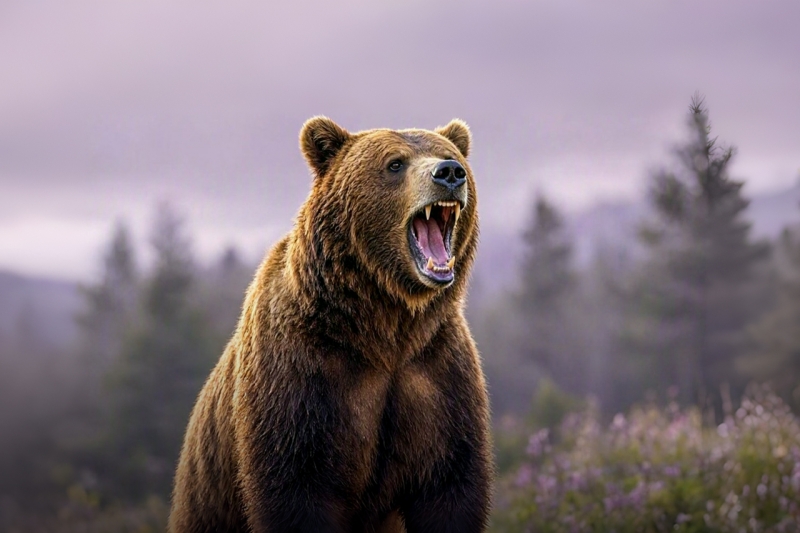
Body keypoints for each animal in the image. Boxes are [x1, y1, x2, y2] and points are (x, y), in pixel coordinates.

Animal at [168, 117, 492, 533]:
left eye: (451, 156)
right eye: (395, 163)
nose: (449, 174)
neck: (384, 326)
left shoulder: (435, 372)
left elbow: (450, 486)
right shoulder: (303, 378)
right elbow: (295, 487)